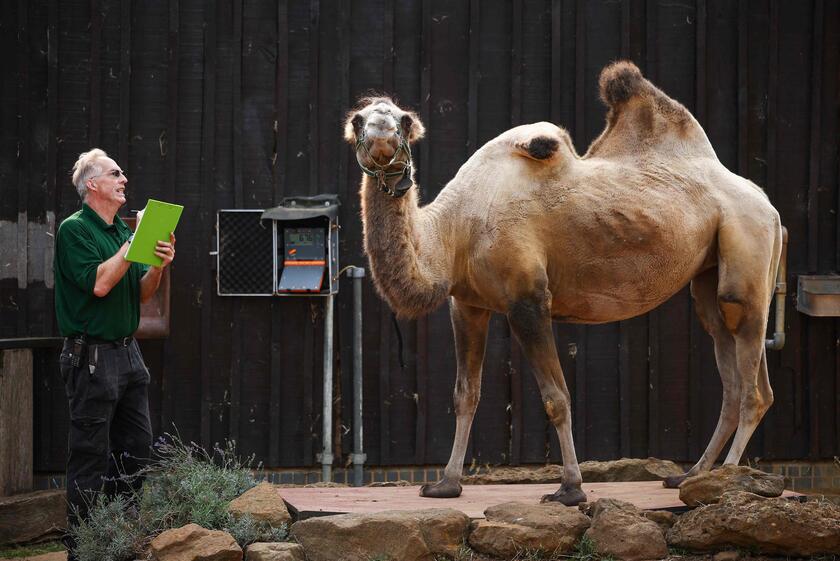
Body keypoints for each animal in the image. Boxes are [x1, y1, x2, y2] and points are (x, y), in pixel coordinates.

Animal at [342, 60, 780, 504]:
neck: (454, 231)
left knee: (753, 382)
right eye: (359, 119)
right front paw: (446, 483)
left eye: (403, 120)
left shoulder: (528, 298)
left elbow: (557, 398)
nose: (381, 133)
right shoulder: (467, 303)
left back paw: (726, 482)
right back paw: (692, 474)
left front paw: (570, 488)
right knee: (728, 365)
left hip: (747, 245)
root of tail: (765, 201)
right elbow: (465, 395)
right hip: (708, 275)